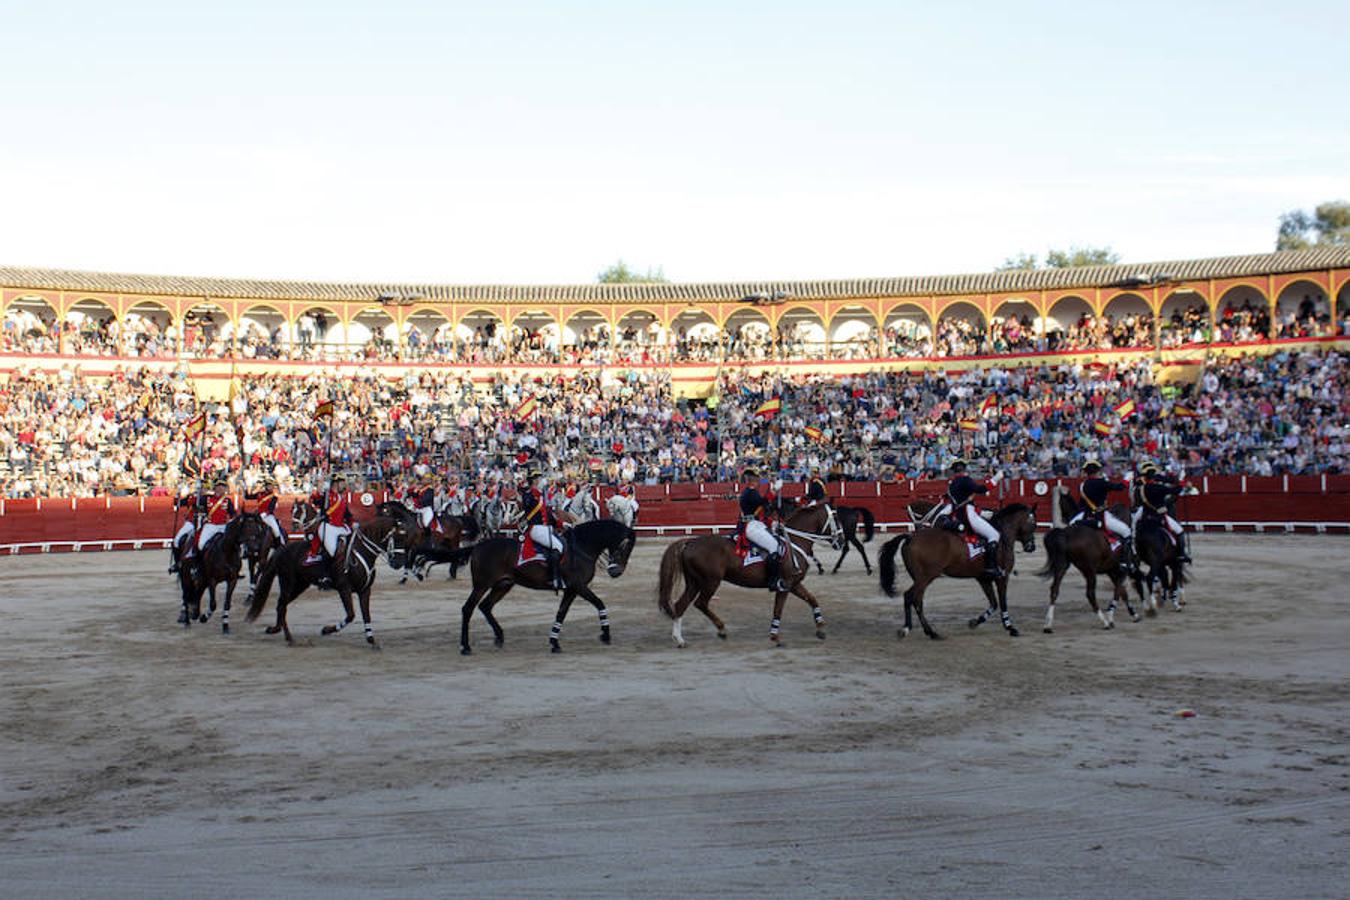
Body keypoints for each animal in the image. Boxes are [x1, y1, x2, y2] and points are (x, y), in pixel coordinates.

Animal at [243, 512, 418, 647]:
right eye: (397, 537)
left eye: (406, 538)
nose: (398, 563)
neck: (362, 550)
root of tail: (281, 550)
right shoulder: (344, 588)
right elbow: (350, 615)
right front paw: (327, 630)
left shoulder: (364, 590)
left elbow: (366, 615)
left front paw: (371, 640)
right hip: (288, 583)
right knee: (281, 605)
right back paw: (288, 637)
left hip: (300, 585)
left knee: (282, 605)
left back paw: (278, 631)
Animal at [453, 520, 637, 655]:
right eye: (626, 547)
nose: (616, 572)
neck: (581, 547)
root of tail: (478, 546)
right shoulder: (579, 586)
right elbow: (599, 603)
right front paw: (606, 634)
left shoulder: (571, 590)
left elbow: (561, 613)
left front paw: (554, 643)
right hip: (482, 585)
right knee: (468, 608)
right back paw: (465, 647)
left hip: (503, 585)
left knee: (485, 606)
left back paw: (499, 637)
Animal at [653, 507, 831, 647]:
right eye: (835, 518)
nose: (838, 541)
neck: (793, 543)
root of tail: (689, 542)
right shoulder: (785, 585)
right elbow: (778, 610)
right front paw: (775, 637)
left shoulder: (793, 584)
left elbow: (812, 599)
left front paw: (821, 628)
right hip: (710, 582)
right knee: (700, 603)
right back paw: (720, 629)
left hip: (694, 583)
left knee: (680, 605)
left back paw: (680, 639)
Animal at [880, 507, 1036, 639]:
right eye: (1033, 525)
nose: (1032, 547)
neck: (1002, 538)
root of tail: (911, 537)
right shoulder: (1002, 577)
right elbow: (1003, 603)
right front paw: (1010, 628)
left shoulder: (983, 579)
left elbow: (993, 603)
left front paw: (975, 622)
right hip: (925, 577)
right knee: (910, 597)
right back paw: (910, 629)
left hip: (919, 578)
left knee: (917, 600)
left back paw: (930, 632)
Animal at [1031, 485, 1139, 634]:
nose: (1062, 518)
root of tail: (1065, 534)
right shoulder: (1118, 570)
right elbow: (1119, 591)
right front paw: (1111, 617)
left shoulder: (1111, 570)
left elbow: (1123, 592)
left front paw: (1133, 614)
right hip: (1089, 571)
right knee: (1090, 594)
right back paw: (1104, 622)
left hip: (1062, 566)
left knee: (1054, 590)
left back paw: (1048, 625)